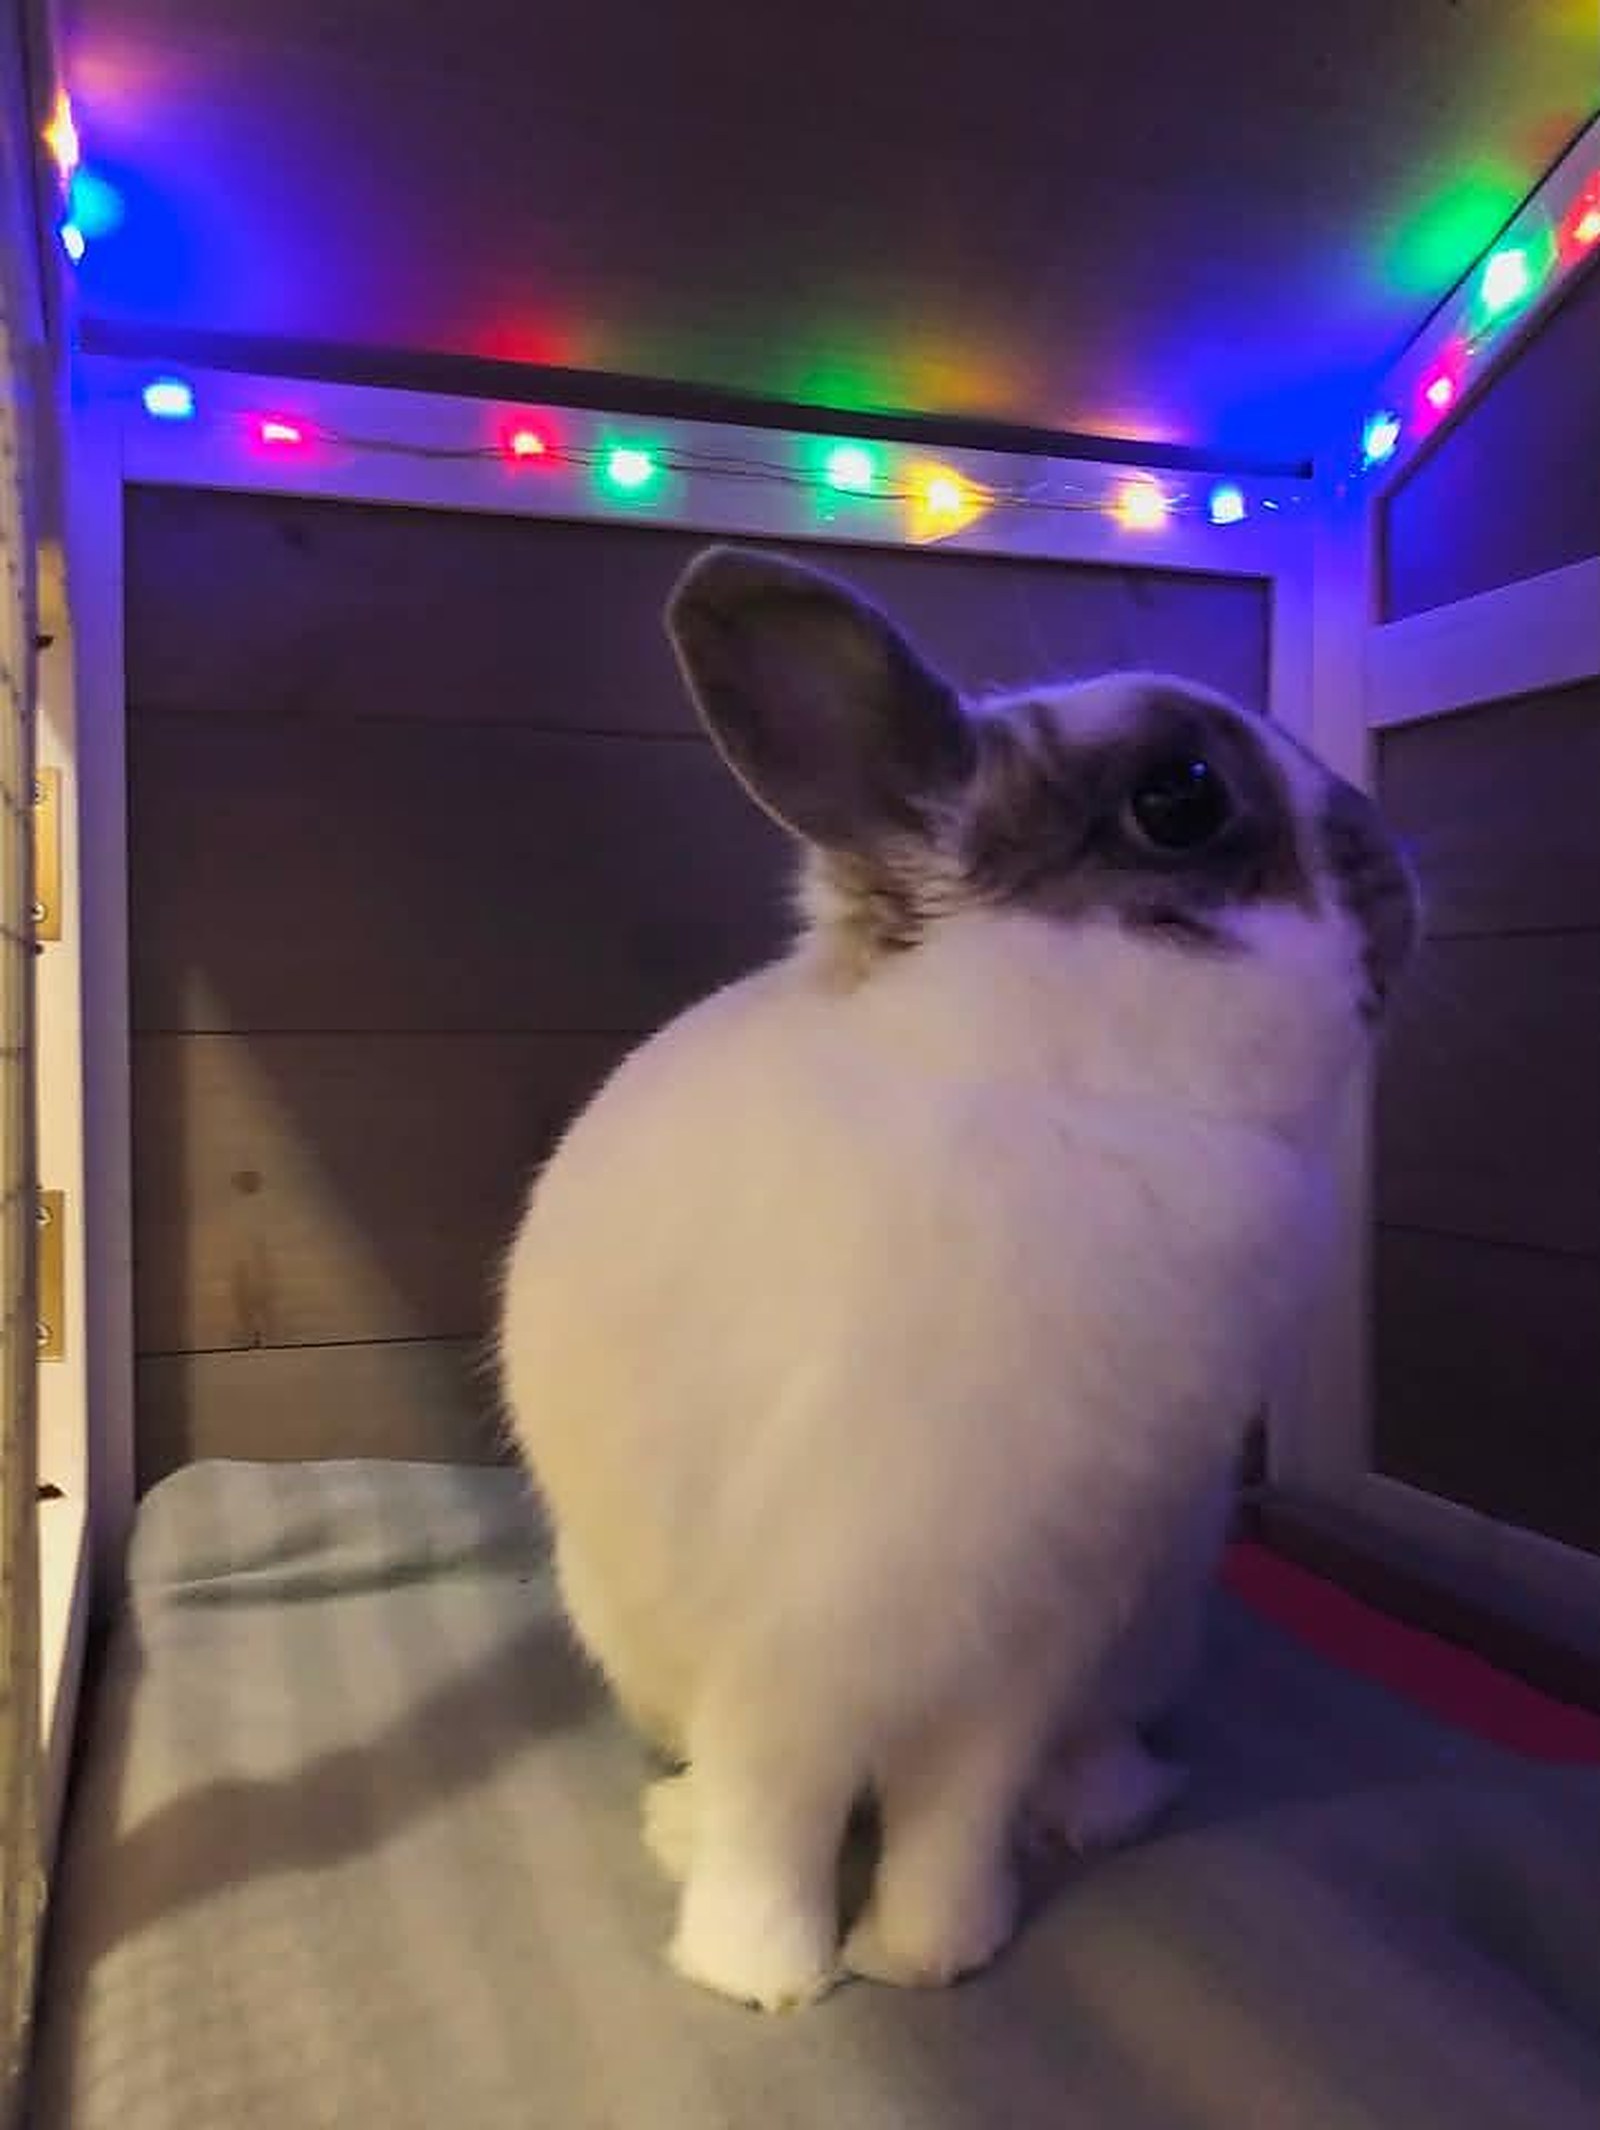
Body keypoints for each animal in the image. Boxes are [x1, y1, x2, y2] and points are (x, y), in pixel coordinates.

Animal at [498, 544, 1418, 2012]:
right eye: (1179, 795)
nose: (1399, 880)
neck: (1056, 1091)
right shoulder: (787, 1628)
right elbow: (773, 1804)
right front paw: (759, 1974)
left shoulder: (1031, 1631)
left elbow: (958, 1806)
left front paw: (931, 1955)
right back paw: (676, 1829)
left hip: (1149, 1621)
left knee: (1085, 1748)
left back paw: (1096, 1805)